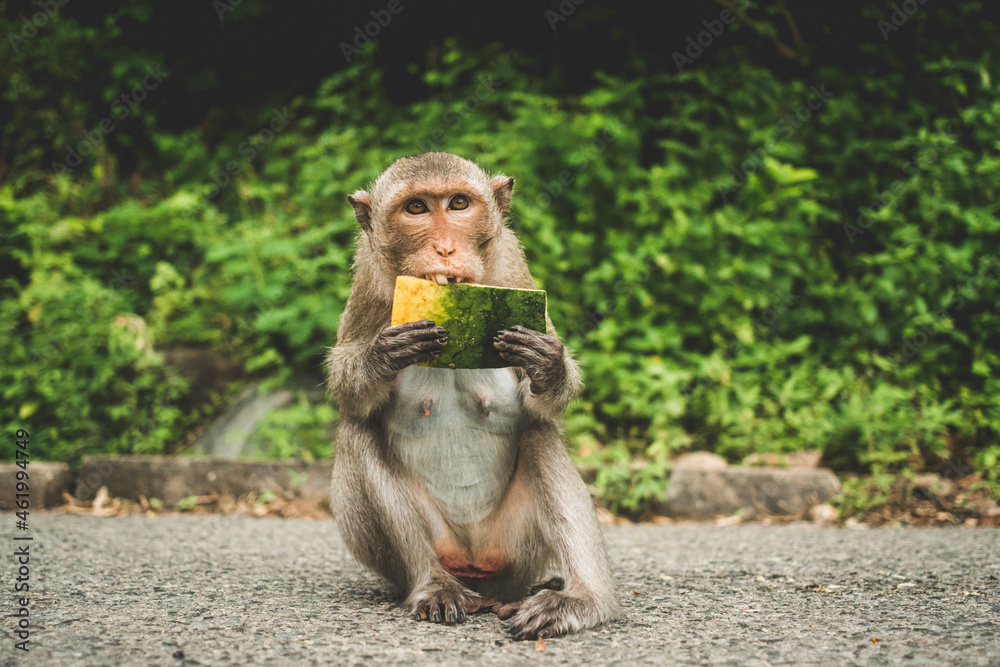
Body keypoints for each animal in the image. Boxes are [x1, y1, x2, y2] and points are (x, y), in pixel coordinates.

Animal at [327, 152, 620, 640]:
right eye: (417, 208)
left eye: (458, 204)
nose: (445, 248)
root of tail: (478, 570)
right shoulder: (367, 278)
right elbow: (347, 392)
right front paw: (382, 355)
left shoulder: (513, 265)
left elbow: (547, 402)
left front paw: (548, 364)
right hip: (430, 549)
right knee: (357, 433)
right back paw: (434, 584)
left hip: (517, 550)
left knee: (539, 434)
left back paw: (581, 600)